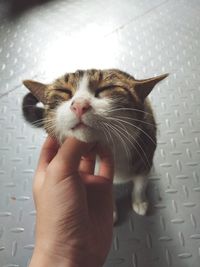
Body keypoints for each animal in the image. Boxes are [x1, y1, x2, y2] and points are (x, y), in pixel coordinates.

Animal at [22, 68, 168, 223]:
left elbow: (140, 184)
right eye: (63, 91)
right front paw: (109, 209)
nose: (79, 105)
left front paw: (139, 201)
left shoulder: (145, 157)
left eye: (106, 88)